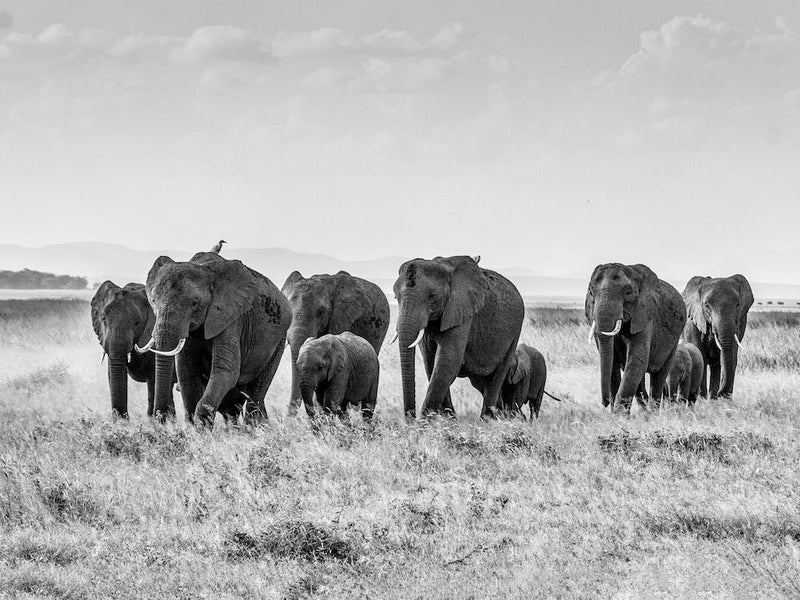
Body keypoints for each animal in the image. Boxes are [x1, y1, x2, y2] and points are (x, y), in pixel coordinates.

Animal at [140, 252, 292, 427]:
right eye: (153, 301)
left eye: (194, 302)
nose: (161, 417)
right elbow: (186, 373)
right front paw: (194, 428)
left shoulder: (230, 317)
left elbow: (225, 371)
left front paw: (202, 427)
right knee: (233, 406)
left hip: (278, 341)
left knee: (256, 393)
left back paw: (255, 427)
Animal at [392, 255, 524, 420]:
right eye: (395, 297)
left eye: (432, 297)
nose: (410, 420)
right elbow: (431, 363)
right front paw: (448, 421)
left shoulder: (462, 310)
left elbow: (447, 362)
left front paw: (425, 423)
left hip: (515, 333)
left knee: (497, 376)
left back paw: (487, 420)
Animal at [585, 263, 686, 412]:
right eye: (592, 292)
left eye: (628, 293)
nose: (605, 403)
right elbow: (613, 363)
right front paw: (615, 414)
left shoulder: (644, 315)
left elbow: (636, 360)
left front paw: (619, 414)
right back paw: (645, 409)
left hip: (674, 341)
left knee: (659, 375)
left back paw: (653, 412)